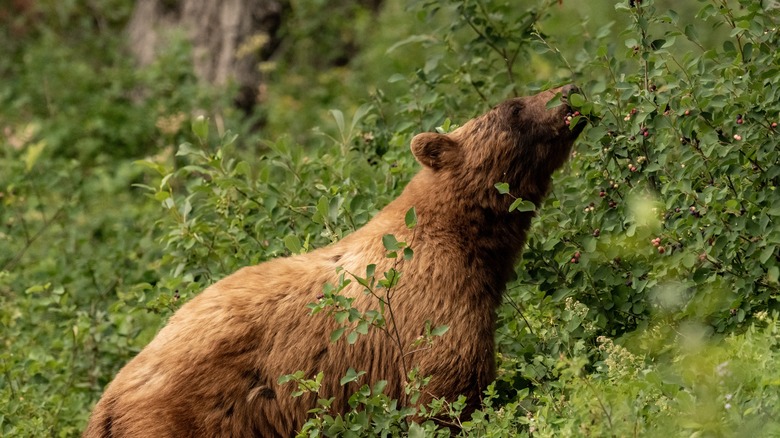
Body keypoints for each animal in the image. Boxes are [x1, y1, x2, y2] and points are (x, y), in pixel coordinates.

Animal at [87, 84, 584, 436]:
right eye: (514, 107)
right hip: (191, 415)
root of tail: (107, 401)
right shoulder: (433, 314)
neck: (466, 242)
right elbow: (447, 395)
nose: (570, 90)